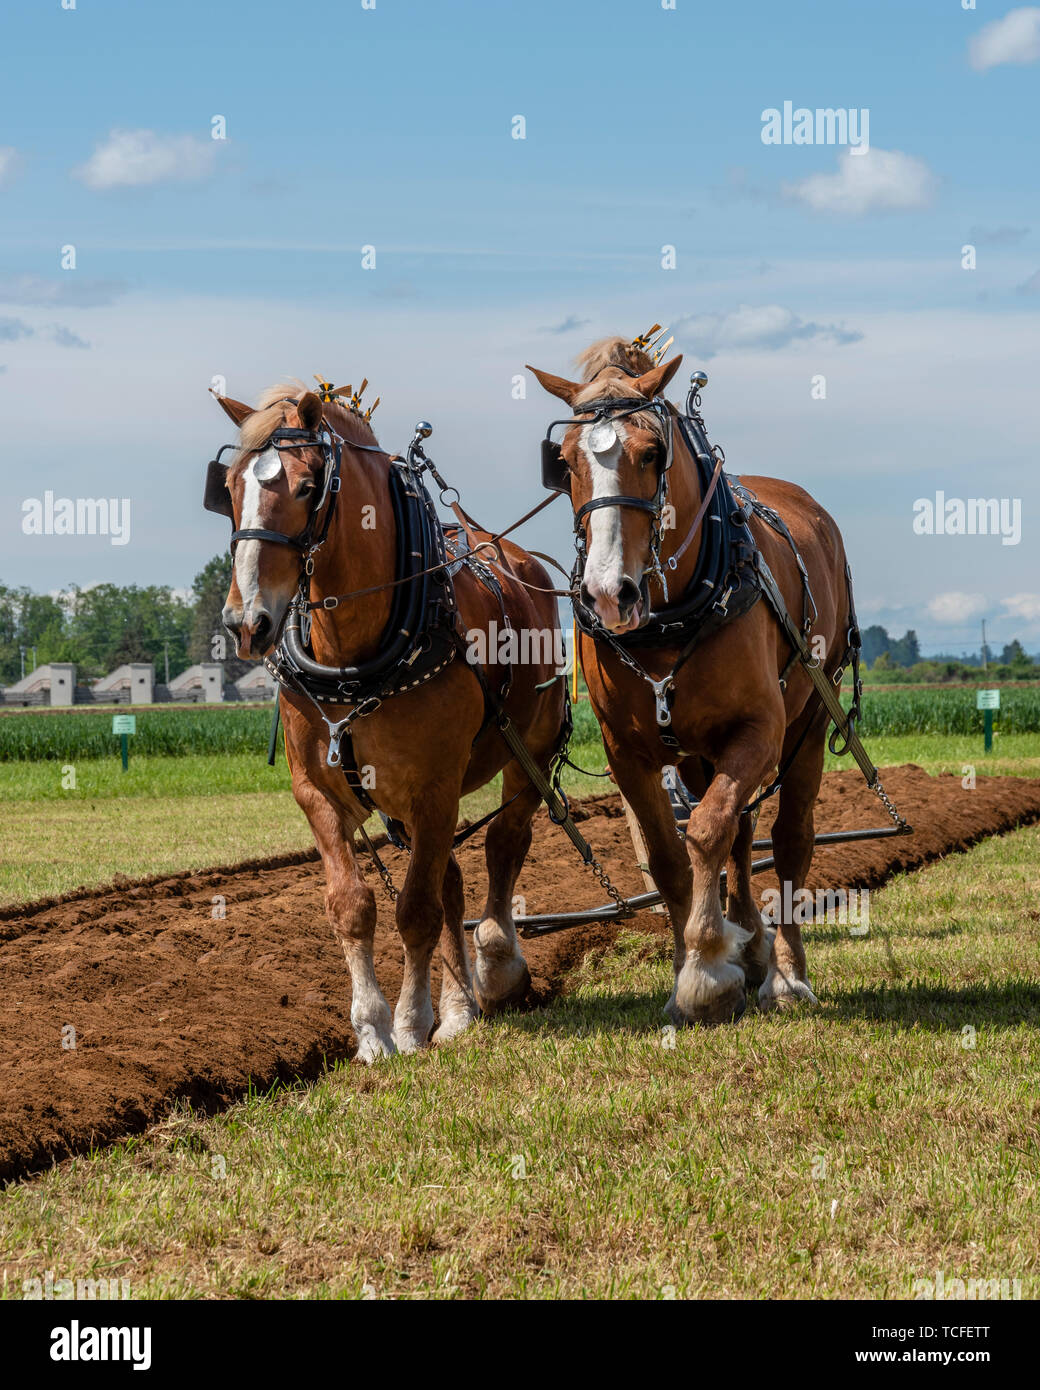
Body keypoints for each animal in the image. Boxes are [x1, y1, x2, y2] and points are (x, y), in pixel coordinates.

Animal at [208, 386, 564, 1056]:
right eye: (230, 489)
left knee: (504, 845)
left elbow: (416, 911)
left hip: (528, 754)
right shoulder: (319, 792)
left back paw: (497, 966)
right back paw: (460, 1010)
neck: (353, 659)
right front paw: (372, 1030)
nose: (246, 623)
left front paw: (408, 1022)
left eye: (306, 487)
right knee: (451, 878)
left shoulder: (435, 787)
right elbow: (353, 904)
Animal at [528, 340, 850, 1028]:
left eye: (651, 452)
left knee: (788, 841)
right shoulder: (628, 751)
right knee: (742, 836)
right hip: (702, 753)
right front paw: (692, 972)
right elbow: (669, 855)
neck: (672, 617)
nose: (609, 593)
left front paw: (706, 969)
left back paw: (786, 974)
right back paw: (750, 948)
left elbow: (704, 830)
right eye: (563, 461)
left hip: (809, 722)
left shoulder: (759, 730)